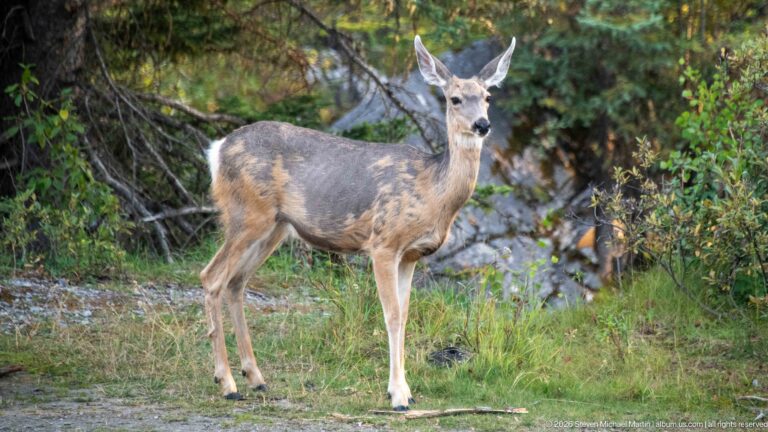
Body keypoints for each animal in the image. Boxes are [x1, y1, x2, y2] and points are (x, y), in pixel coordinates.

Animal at [200, 35, 516, 411]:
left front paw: (404, 389)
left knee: (236, 282)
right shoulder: (383, 243)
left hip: (273, 227)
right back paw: (226, 382)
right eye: (455, 99)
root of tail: (217, 149)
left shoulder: (411, 255)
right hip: (247, 213)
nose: (482, 124)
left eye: (487, 97)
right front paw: (399, 396)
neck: (433, 192)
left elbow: (405, 317)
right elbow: (391, 315)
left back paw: (256, 378)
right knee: (212, 277)